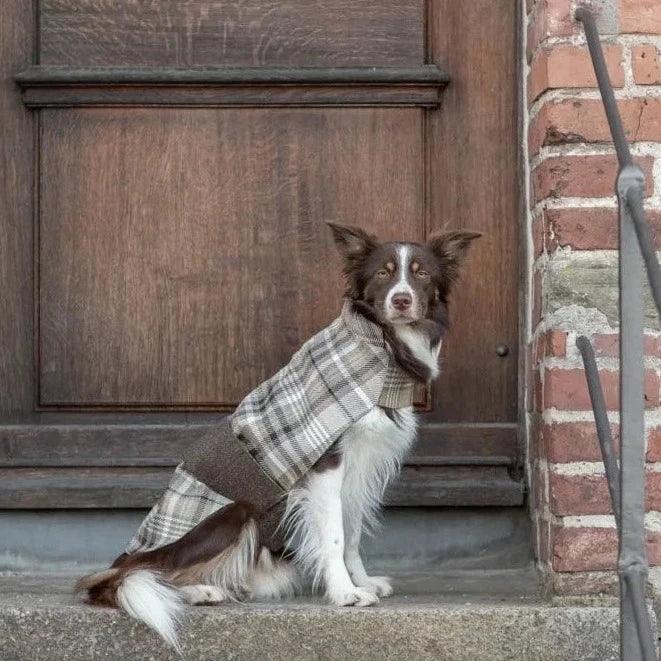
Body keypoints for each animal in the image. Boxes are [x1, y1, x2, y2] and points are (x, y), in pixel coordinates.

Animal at [76, 223, 480, 648]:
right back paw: (196, 590)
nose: (401, 300)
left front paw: (362, 581)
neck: (380, 348)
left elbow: (352, 533)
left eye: (422, 274)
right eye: (383, 274)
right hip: (231, 513)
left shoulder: (360, 468)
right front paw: (345, 593)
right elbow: (334, 536)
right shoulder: (325, 466)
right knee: (140, 575)